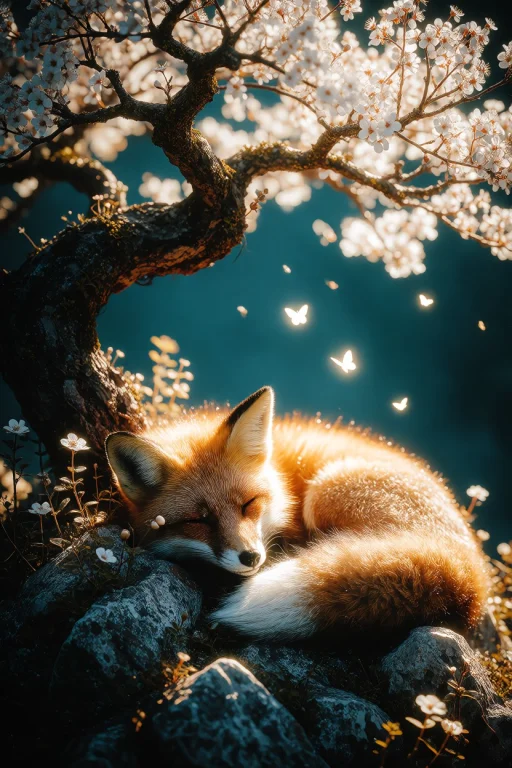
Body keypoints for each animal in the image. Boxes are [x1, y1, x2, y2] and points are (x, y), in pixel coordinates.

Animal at [105, 386, 489, 641]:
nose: (250, 557)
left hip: (326, 490)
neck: (283, 474)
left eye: (248, 503)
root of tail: (470, 565)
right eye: (199, 520)